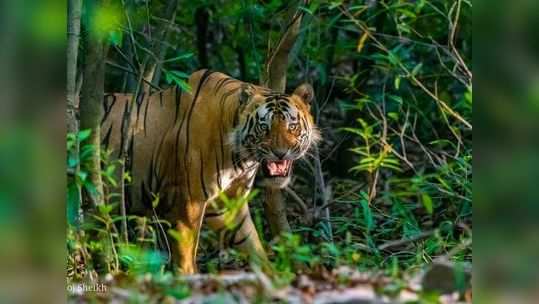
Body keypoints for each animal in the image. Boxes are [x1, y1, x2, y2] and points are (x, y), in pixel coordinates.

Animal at [100, 70, 320, 274]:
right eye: (264, 127)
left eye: (292, 126)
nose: (280, 153)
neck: (241, 157)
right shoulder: (187, 203)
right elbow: (185, 254)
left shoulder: (228, 204)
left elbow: (252, 244)